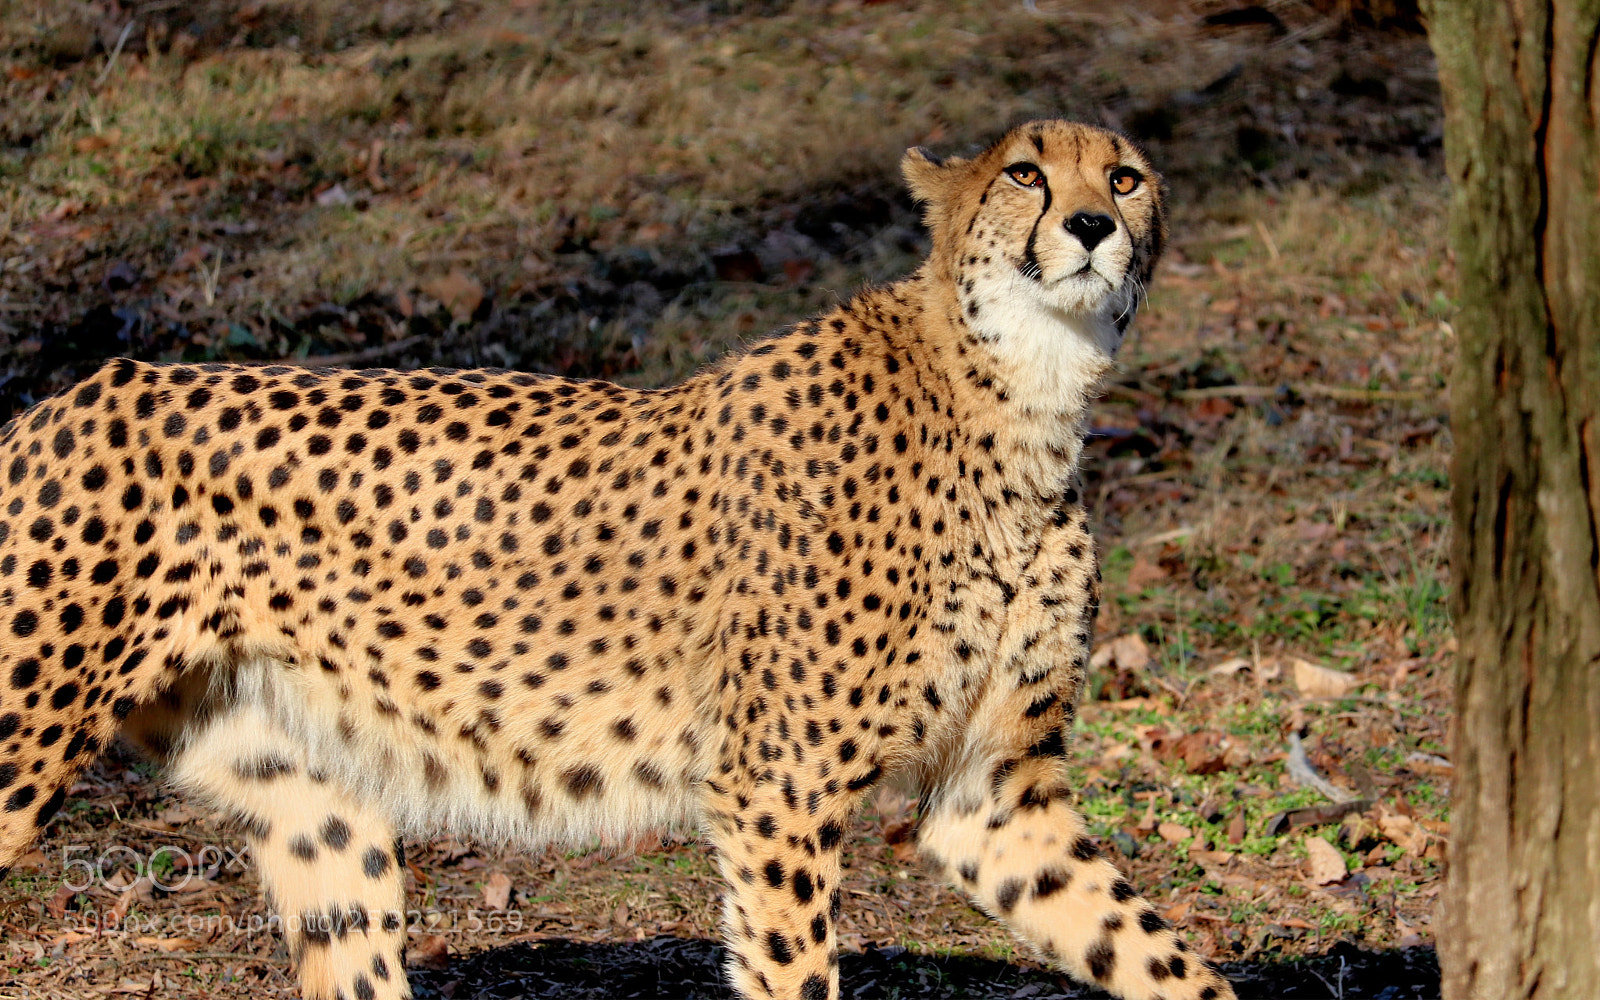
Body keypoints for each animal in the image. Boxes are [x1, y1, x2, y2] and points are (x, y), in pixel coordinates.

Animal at [0, 119, 1234, 1000]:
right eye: (1026, 173)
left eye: (1125, 178)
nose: (1092, 225)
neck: (1023, 395)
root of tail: (64, 397)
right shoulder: (775, 788)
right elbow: (797, 968)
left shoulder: (994, 791)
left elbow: (1149, 949)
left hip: (314, 802)